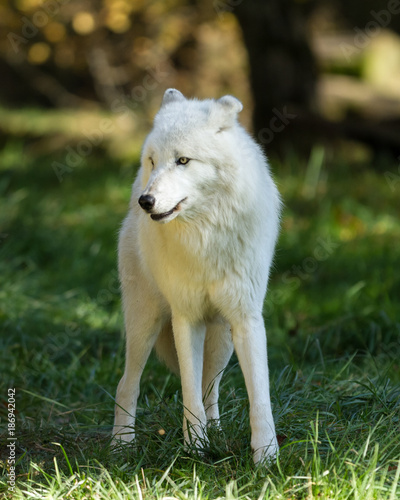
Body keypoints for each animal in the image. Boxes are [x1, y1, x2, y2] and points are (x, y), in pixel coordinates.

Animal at [112, 89, 282, 464]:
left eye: (183, 161)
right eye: (153, 161)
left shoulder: (247, 320)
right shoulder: (185, 318)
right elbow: (189, 394)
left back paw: (217, 434)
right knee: (127, 385)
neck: (205, 239)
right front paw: (195, 449)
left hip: (221, 341)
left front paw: (266, 456)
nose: (146, 201)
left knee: (211, 389)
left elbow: (259, 396)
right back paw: (121, 446)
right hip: (145, 322)